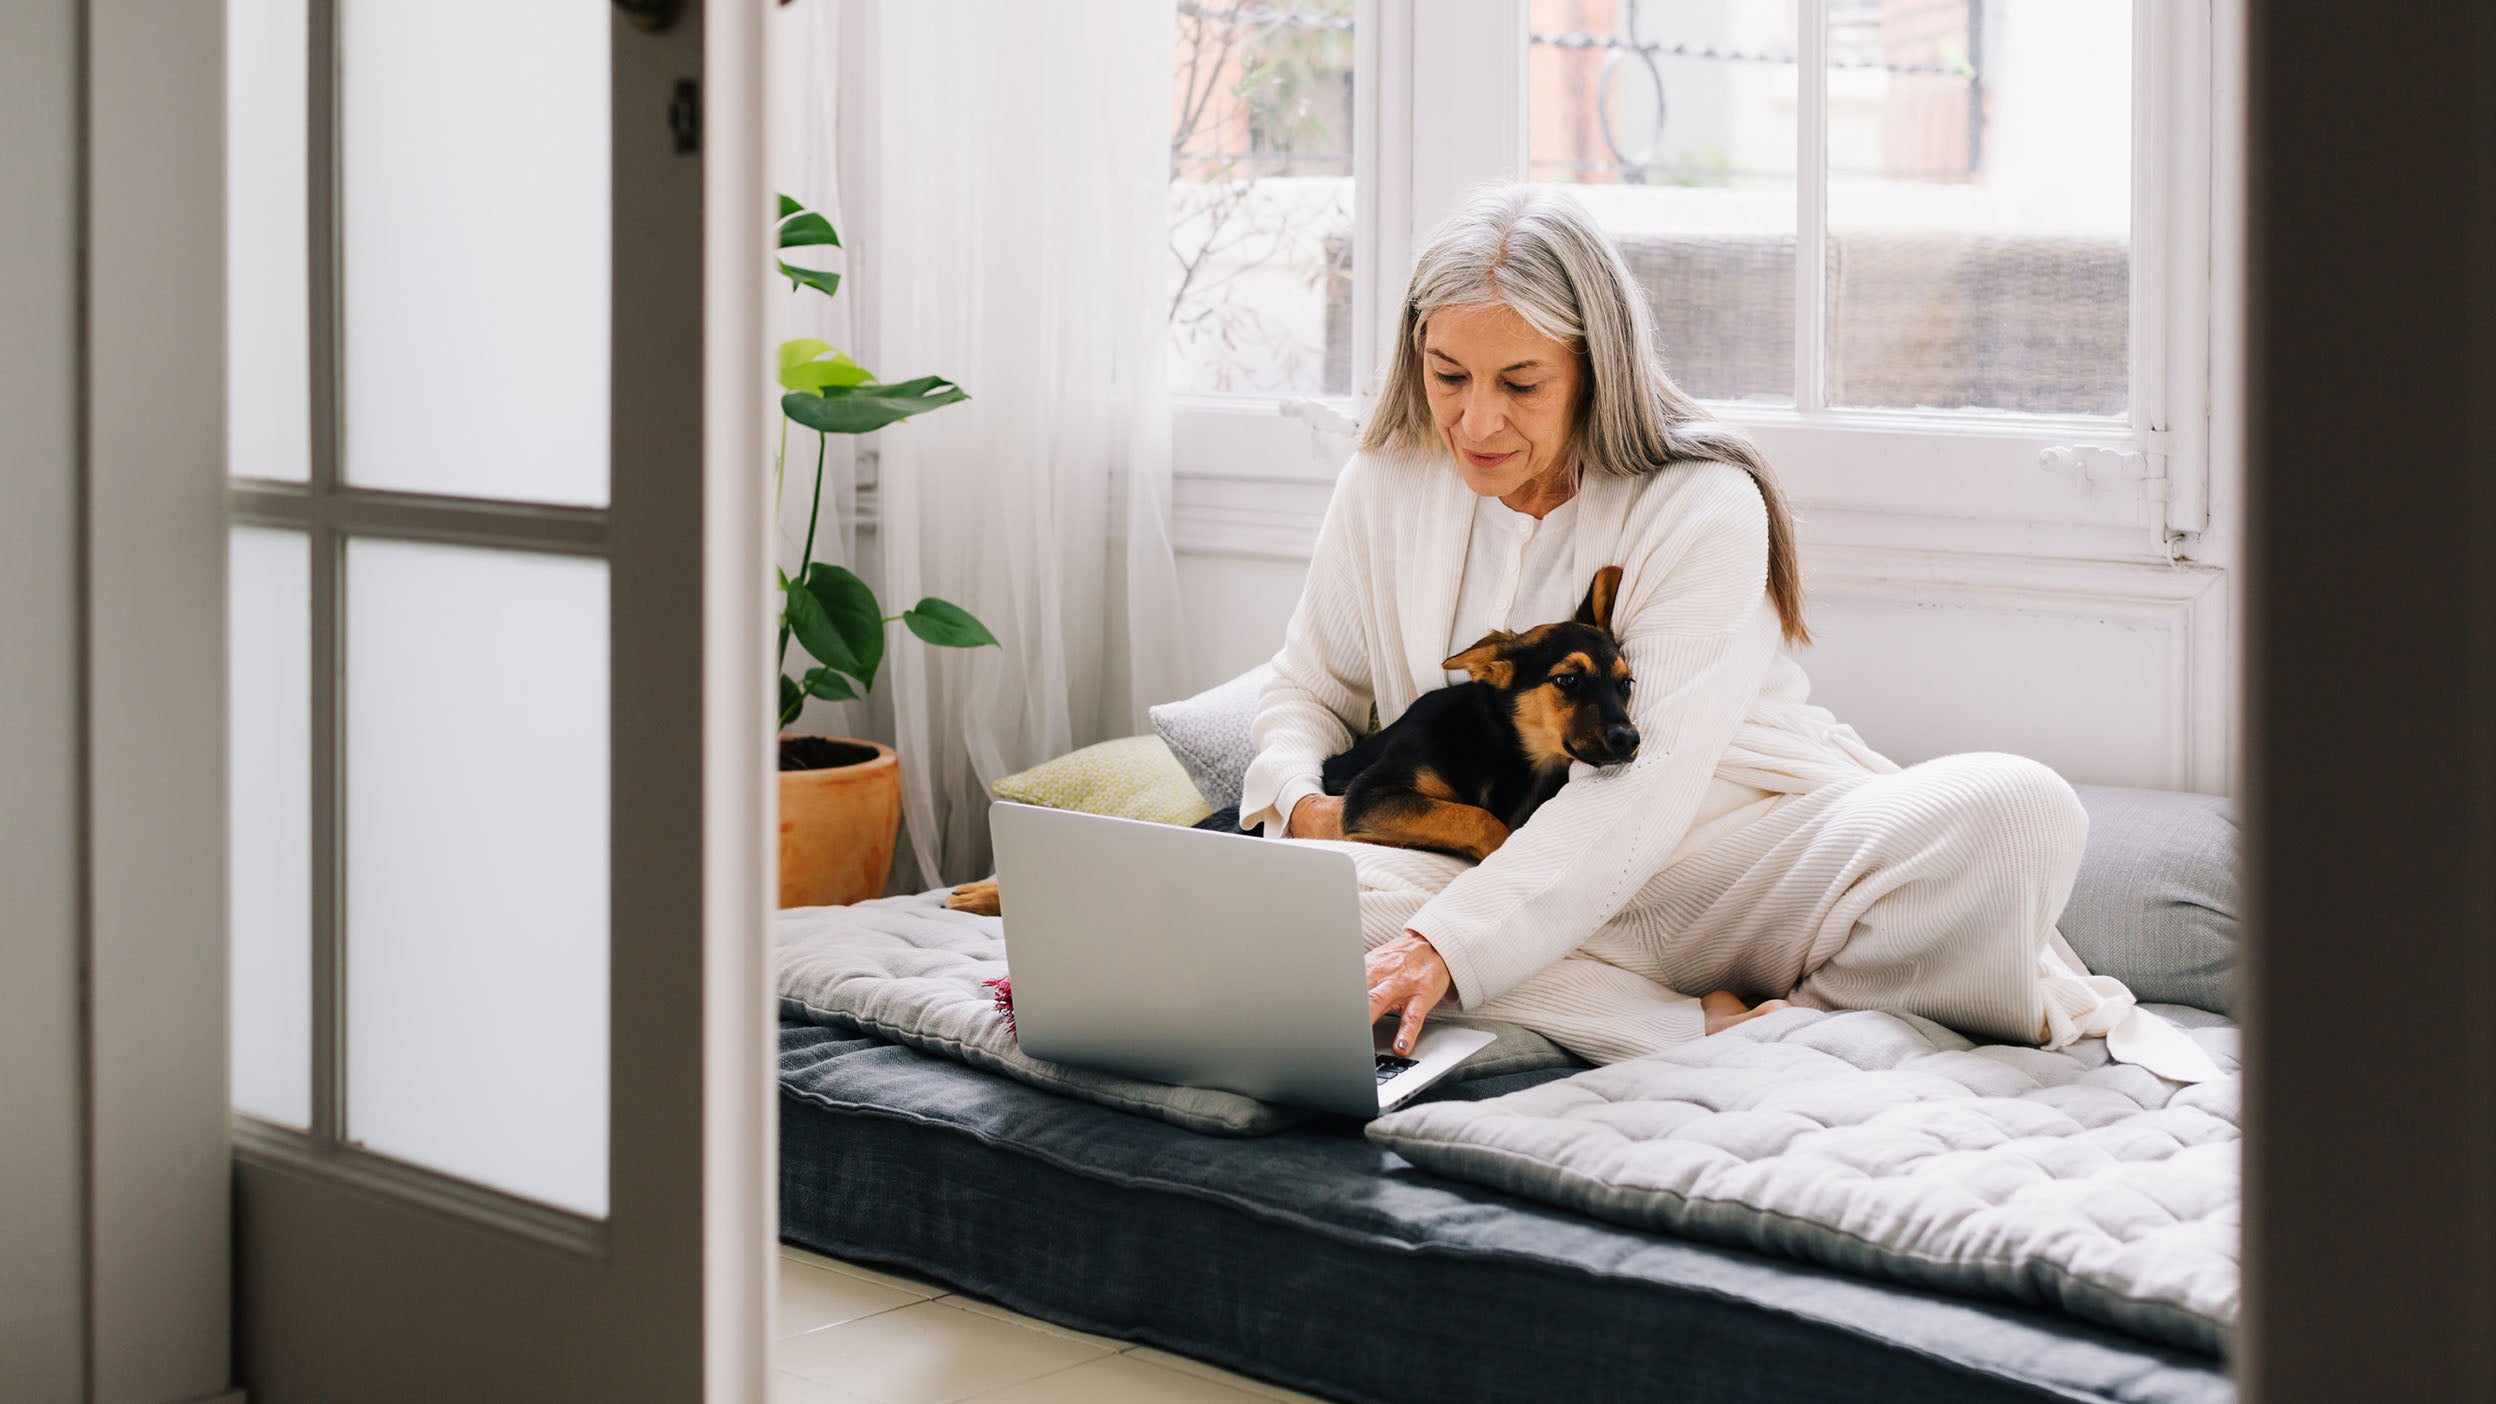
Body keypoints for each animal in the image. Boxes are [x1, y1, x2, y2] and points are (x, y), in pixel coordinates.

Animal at [943, 562, 1627, 914]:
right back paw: (983, 891)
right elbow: (1476, 818)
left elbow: (1482, 817)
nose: (1631, 739)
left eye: (1628, 683)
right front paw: (1497, 846)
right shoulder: (1371, 799)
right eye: (1567, 680)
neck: (1508, 747)